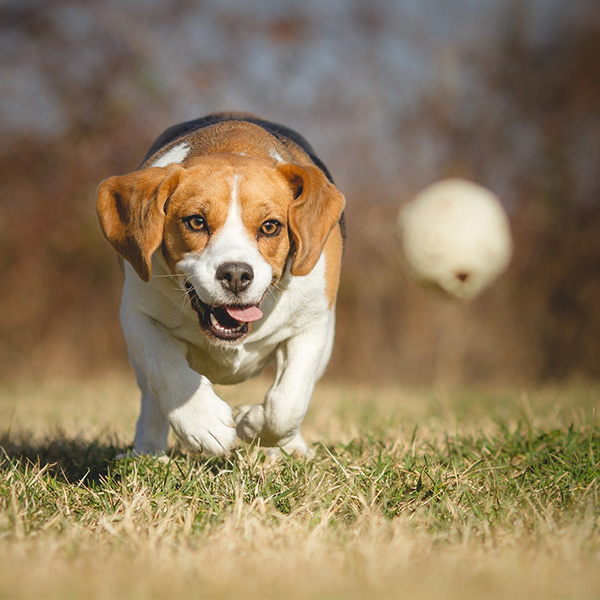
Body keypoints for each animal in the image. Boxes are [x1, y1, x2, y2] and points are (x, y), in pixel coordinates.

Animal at [96, 112, 344, 454]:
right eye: (196, 221)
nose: (236, 274)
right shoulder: (138, 316)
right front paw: (203, 423)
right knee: (151, 399)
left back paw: (290, 448)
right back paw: (148, 451)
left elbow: (288, 403)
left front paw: (253, 424)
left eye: (270, 226)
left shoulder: (311, 326)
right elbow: (164, 364)